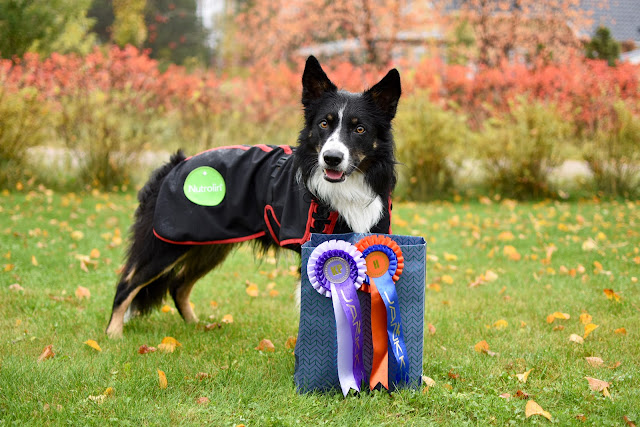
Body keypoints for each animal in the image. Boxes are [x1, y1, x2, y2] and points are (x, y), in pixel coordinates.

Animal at [105, 56, 400, 338]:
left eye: (359, 129)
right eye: (324, 124)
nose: (332, 158)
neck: (348, 187)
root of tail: (175, 164)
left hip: (208, 246)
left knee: (178, 286)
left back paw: (195, 326)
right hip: (167, 245)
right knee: (127, 284)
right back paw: (113, 335)